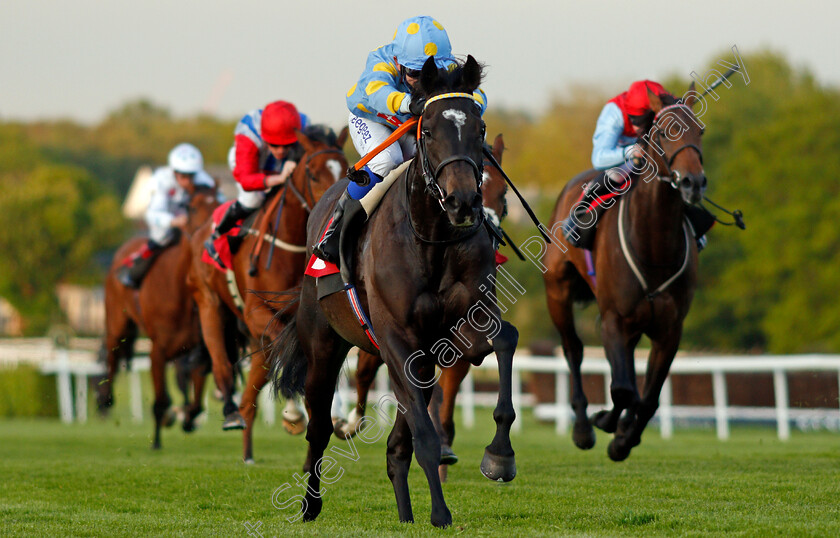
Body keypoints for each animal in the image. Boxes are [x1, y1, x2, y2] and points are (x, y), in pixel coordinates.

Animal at [98, 184, 220, 448]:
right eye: (191, 207)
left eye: (218, 203)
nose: (210, 234)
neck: (180, 291)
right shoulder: (158, 349)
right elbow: (161, 400)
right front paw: (157, 438)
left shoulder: (199, 348)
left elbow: (195, 401)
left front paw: (187, 417)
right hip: (117, 321)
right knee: (111, 354)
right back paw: (104, 399)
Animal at [188, 126, 348, 460]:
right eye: (312, 173)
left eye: (345, 165)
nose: (335, 203)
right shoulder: (256, 312)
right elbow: (287, 350)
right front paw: (295, 413)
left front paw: (334, 415)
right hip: (209, 303)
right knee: (222, 363)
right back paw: (230, 411)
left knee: (251, 390)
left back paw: (248, 445)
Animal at [544, 84, 708, 460]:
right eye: (664, 132)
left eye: (700, 131)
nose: (692, 182)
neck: (654, 245)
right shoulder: (613, 319)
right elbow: (623, 389)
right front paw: (605, 422)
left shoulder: (669, 330)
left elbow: (646, 397)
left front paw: (623, 438)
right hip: (557, 290)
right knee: (573, 350)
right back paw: (583, 427)